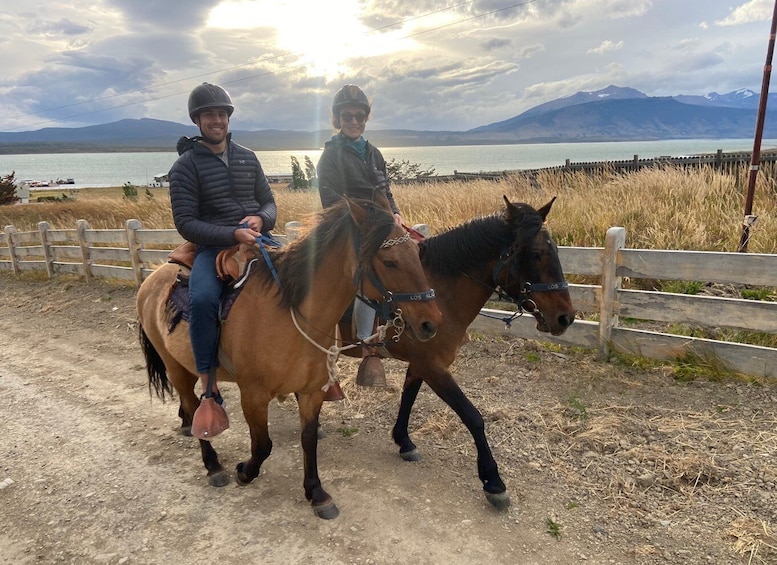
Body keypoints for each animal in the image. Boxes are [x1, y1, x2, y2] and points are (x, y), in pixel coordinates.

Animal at [136, 196, 440, 516]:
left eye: (416, 255)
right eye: (389, 261)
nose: (431, 323)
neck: (290, 314)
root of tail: (153, 276)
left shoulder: (311, 392)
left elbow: (308, 439)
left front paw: (317, 493)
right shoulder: (253, 395)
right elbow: (262, 444)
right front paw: (245, 472)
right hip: (175, 368)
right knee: (191, 404)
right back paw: (213, 465)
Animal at [336, 196, 572, 508]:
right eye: (536, 254)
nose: (566, 317)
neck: (440, 294)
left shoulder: (423, 364)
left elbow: (408, 398)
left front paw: (403, 441)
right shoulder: (434, 367)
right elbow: (472, 416)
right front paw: (493, 480)